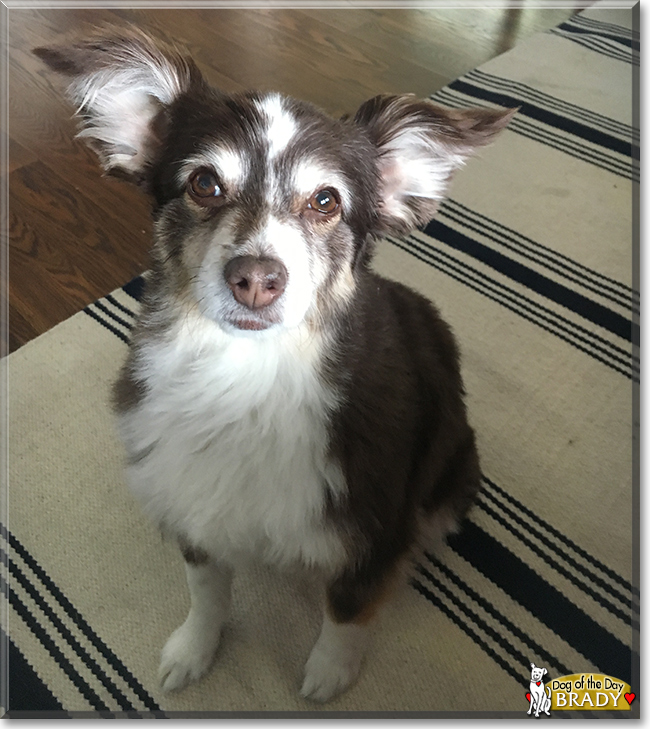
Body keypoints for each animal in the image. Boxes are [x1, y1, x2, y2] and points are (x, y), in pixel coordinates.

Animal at [34, 27, 512, 700]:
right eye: (205, 184)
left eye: (325, 201)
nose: (256, 279)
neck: (247, 376)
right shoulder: (191, 503)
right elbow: (206, 593)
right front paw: (193, 651)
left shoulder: (372, 526)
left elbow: (348, 609)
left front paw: (329, 674)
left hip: (452, 466)